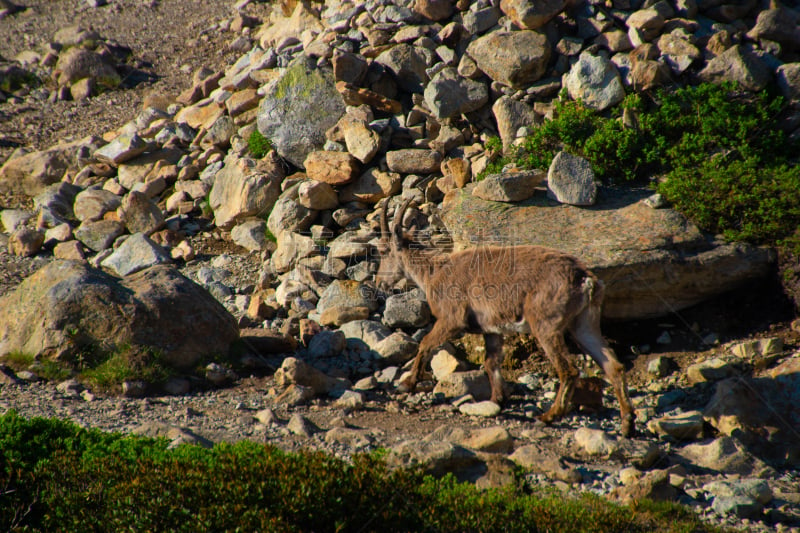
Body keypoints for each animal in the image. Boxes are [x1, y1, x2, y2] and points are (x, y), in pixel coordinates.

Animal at [376, 200, 636, 436]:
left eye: (383, 250)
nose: (379, 283)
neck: (434, 272)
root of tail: (585, 279)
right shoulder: (492, 329)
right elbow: (491, 362)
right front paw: (497, 400)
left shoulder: (451, 319)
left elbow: (426, 343)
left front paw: (406, 384)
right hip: (584, 323)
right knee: (614, 366)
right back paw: (627, 425)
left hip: (546, 324)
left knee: (569, 370)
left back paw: (549, 416)